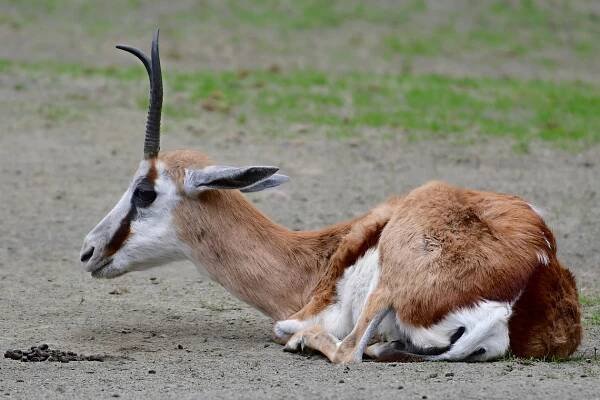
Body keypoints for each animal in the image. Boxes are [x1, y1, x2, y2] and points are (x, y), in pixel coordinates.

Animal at [79, 31, 580, 362]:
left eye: (144, 191)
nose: (88, 251)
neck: (316, 260)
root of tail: (535, 269)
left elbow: (299, 329)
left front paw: (298, 336)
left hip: (386, 287)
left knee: (347, 351)